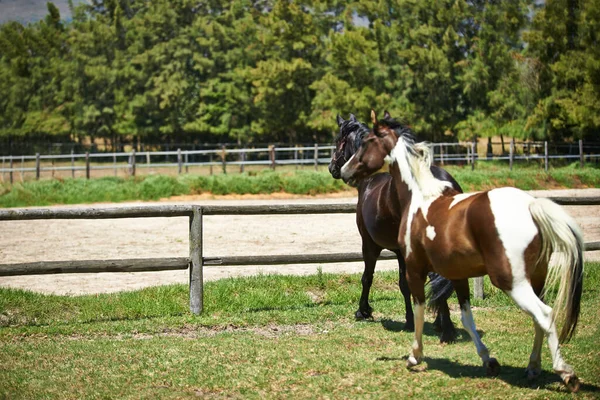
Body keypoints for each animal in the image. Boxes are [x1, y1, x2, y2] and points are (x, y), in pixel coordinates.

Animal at [330, 113, 462, 344]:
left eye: (339, 141)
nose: (333, 168)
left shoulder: (369, 245)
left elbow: (368, 277)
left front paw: (363, 311)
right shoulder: (401, 251)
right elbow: (404, 284)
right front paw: (410, 320)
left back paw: (446, 328)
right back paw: (444, 324)